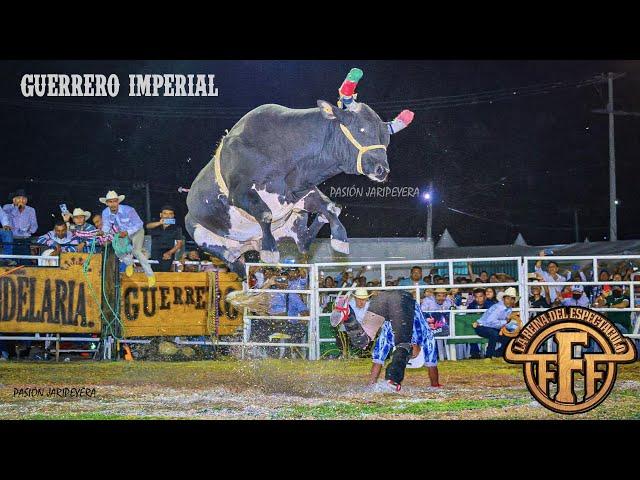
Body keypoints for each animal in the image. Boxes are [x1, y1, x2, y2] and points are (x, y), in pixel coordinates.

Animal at [185, 69, 416, 276]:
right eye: (362, 130)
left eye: (386, 139)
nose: (382, 170)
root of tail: (248, 245)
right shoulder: (239, 192)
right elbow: (265, 213)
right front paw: (269, 251)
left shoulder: (301, 192)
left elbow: (331, 207)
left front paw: (340, 239)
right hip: (199, 232)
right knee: (230, 257)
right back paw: (240, 261)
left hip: (293, 223)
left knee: (303, 242)